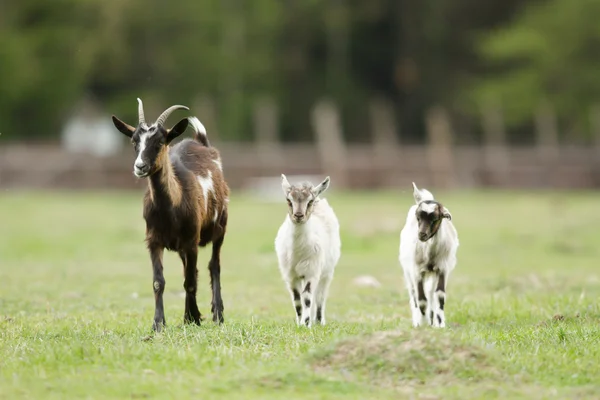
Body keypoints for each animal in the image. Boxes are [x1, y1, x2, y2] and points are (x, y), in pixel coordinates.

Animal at [111, 99, 229, 332]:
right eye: (134, 141)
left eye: (159, 141)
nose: (140, 166)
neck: (170, 210)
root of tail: (201, 143)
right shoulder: (154, 241)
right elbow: (159, 282)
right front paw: (159, 323)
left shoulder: (191, 241)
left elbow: (190, 281)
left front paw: (192, 319)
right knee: (192, 271)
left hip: (220, 227)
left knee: (214, 266)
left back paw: (218, 314)